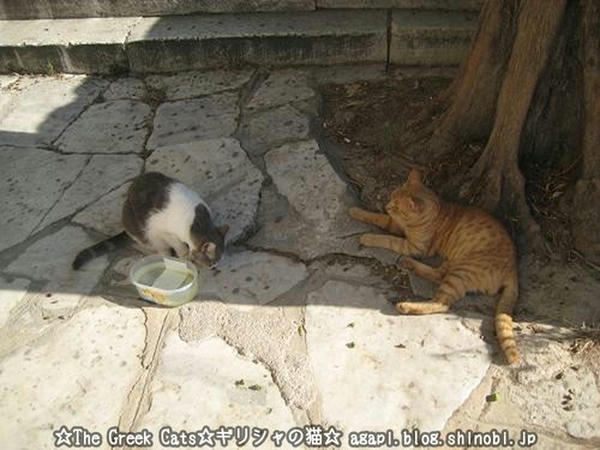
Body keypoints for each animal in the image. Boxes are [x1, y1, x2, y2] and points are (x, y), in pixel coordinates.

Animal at [72, 172, 229, 270]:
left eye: (217, 261)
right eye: (212, 262)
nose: (214, 267)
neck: (195, 221)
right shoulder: (165, 232)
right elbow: (179, 246)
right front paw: (185, 256)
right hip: (149, 234)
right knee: (161, 249)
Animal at [349, 169, 519, 364]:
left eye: (397, 207)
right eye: (391, 196)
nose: (387, 206)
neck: (435, 213)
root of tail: (513, 269)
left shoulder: (412, 246)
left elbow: (386, 239)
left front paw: (367, 237)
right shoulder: (395, 225)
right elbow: (377, 218)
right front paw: (356, 211)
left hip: (461, 271)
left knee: (442, 303)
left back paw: (406, 305)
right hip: (453, 262)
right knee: (437, 275)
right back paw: (408, 264)